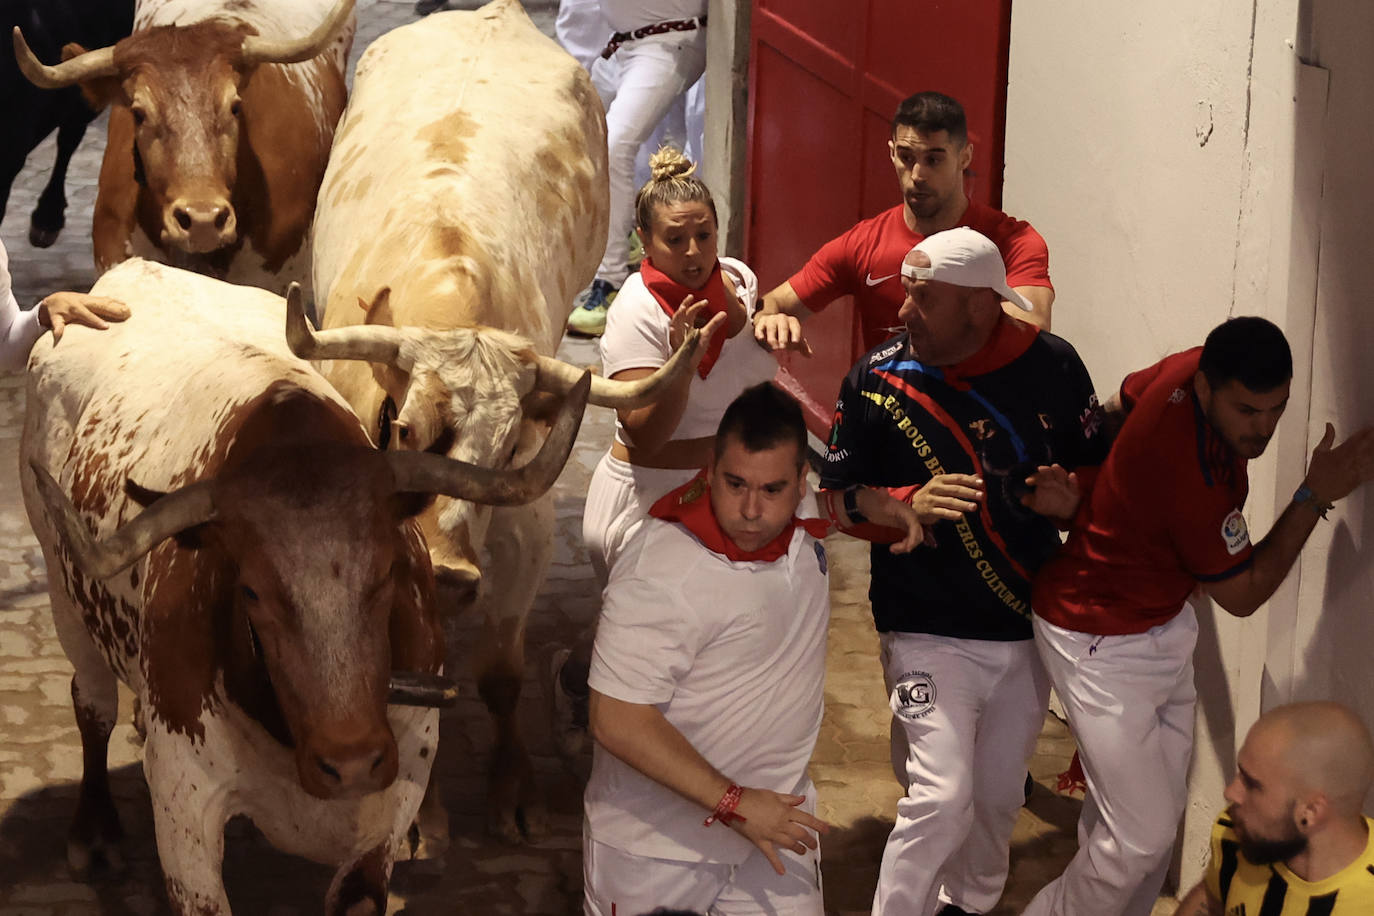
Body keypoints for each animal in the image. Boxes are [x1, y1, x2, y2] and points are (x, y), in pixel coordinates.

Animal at [21, 259, 590, 916]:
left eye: (389, 571)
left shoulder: (395, 801)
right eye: (249, 592)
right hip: (63, 591)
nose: (352, 763)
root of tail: (132, 268)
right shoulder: (184, 811)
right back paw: (95, 832)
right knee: (91, 703)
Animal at [302, 0, 703, 845]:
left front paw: (514, 789)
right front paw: (417, 817)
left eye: (512, 443)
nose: (452, 575)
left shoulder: (526, 534)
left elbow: (501, 673)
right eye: (404, 427)